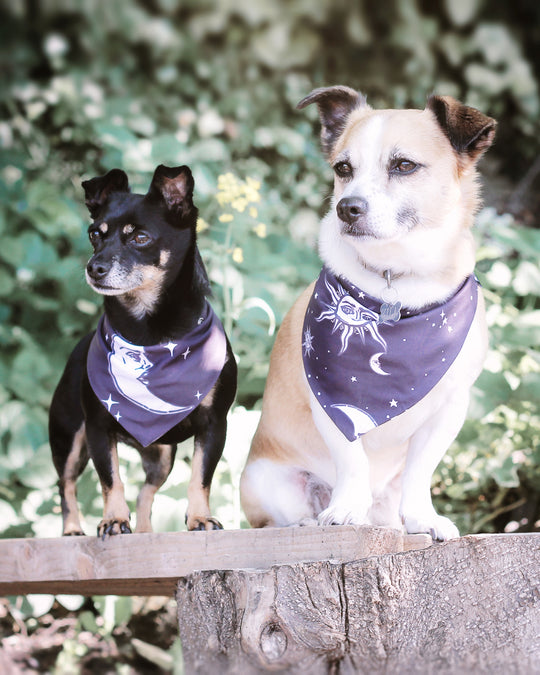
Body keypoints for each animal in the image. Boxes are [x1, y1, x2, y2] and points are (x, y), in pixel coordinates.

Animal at [50, 165, 236, 540]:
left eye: (140, 238)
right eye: (94, 234)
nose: (94, 267)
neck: (148, 332)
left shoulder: (214, 425)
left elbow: (200, 478)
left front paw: (200, 518)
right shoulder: (98, 429)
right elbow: (111, 480)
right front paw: (113, 520)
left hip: (161, 456)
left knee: (146, 493)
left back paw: (147, 531)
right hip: (69, 439)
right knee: (66, 485)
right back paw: (73, 529)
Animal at [243, 86, 496, 540]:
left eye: (404, 165)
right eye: (343, 168)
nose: (347, 207)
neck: (395, 280)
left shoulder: (450, 408)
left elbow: (420, 471)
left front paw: (422, 517)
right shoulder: (331, 400)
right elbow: (352, 460)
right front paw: (345, 508)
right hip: (265, 478)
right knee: (278, 518)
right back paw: (308, 519)